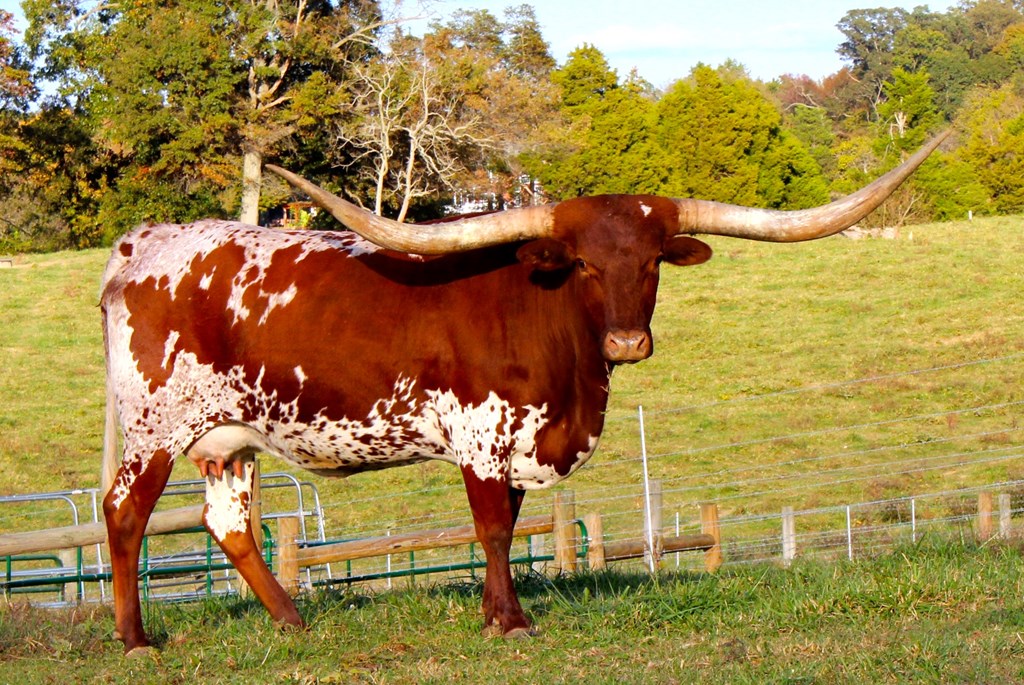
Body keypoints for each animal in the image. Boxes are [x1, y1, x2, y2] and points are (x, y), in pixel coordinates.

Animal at [100, 132, 947, 654]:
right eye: (584, 265)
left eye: (650, 263)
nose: (627, 343)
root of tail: (143, 243)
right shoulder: (479, 433)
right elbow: (492, 528)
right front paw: (508, 620)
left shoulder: (521, 437)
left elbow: (508, 520)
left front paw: (490, 613)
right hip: (152, 428)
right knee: (124, 511)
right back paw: (137, 638)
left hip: (228, 438)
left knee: (227, 522)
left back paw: (293, 620)